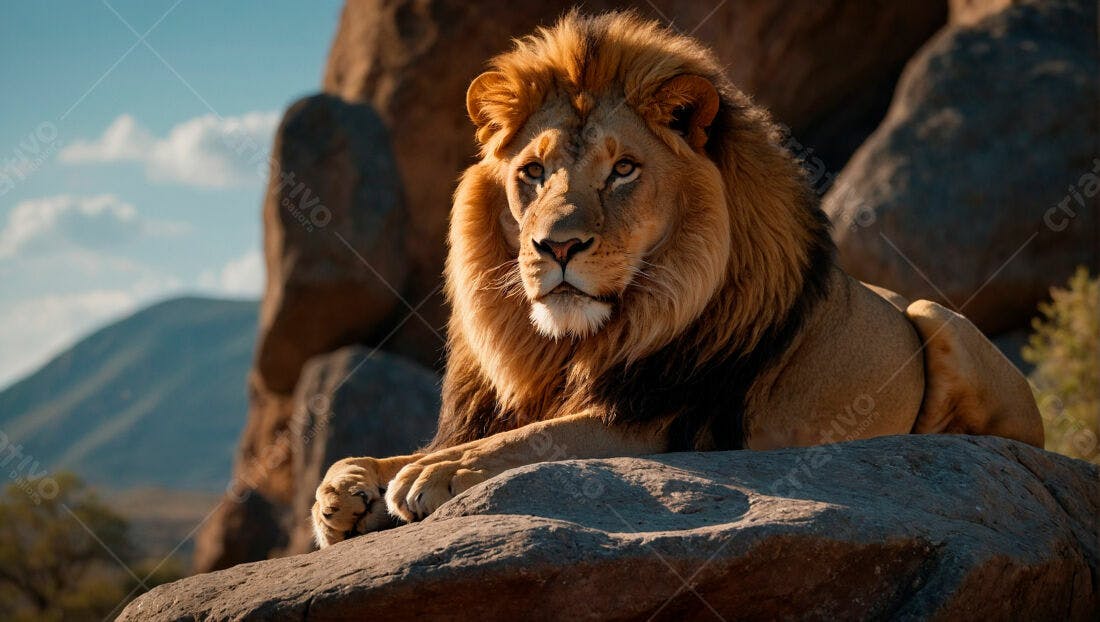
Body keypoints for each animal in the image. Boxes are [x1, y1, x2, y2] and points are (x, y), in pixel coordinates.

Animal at [312, 11, 1043, 547]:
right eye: (533, 172)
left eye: (623, 170)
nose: (557, 246)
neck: (570, 344)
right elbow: (426, 446)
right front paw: (347, 489)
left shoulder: (666, 424)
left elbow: (534, 439)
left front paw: (435, 473)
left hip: (933, 316)